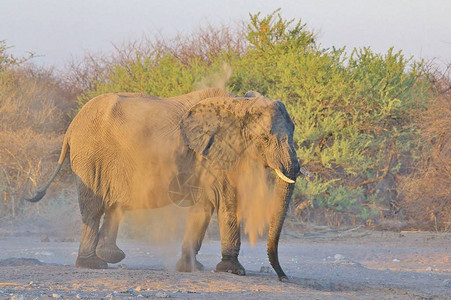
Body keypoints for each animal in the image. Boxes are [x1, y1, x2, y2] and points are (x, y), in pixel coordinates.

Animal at [29, 88, 304, 280]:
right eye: (265, 138)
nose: (283, 277)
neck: (239, 103)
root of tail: (71, 127)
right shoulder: (210, 154)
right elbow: (225, 201)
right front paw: (233, 270)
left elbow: (204, 206)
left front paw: (191, 267)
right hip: (90, 158)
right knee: (94, 208)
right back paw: (93, 264)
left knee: (114, 206)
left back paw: (111, 256)